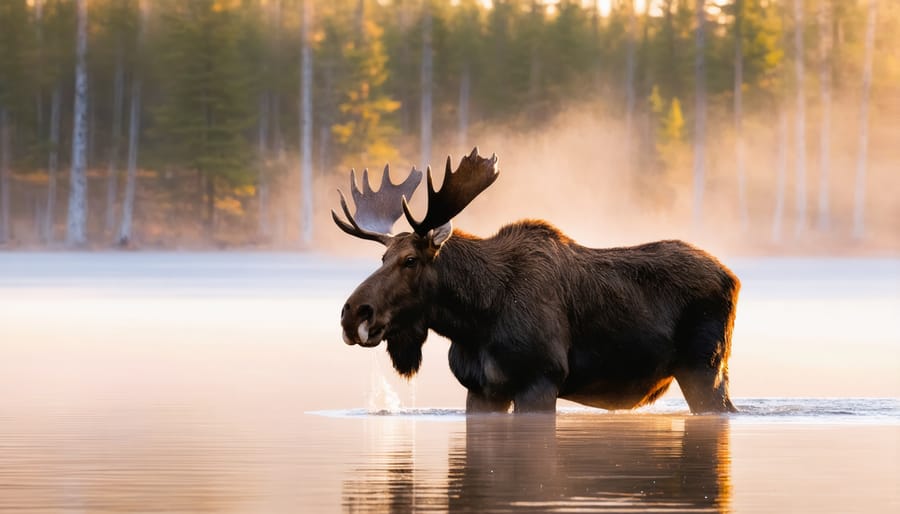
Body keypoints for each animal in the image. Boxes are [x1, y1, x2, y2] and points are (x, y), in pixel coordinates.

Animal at [333, 148, 739, 414]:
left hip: (705, 369)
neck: (475, 319)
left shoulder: (541, 380)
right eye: (382, 258)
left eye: (411, 260)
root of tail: (732, 277)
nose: (354, 313)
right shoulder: (480, 389)